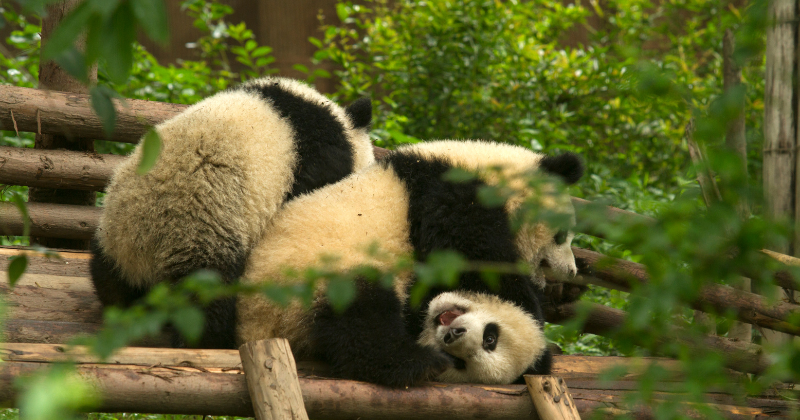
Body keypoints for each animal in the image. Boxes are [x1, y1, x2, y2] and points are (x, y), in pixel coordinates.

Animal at [89, 77, 376, 350]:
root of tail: (138, 252)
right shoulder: (317, 160)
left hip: (111, 234)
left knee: (109, 281)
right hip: (198, 229)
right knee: (208, 295)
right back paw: (207, 340)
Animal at [234, 140, 584, 388]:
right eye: (561, 235)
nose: (571, 271)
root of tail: (253, 328)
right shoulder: (452, 196)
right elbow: (473, 258)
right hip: (306, 279)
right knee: (360, 315)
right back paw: (412, 361)